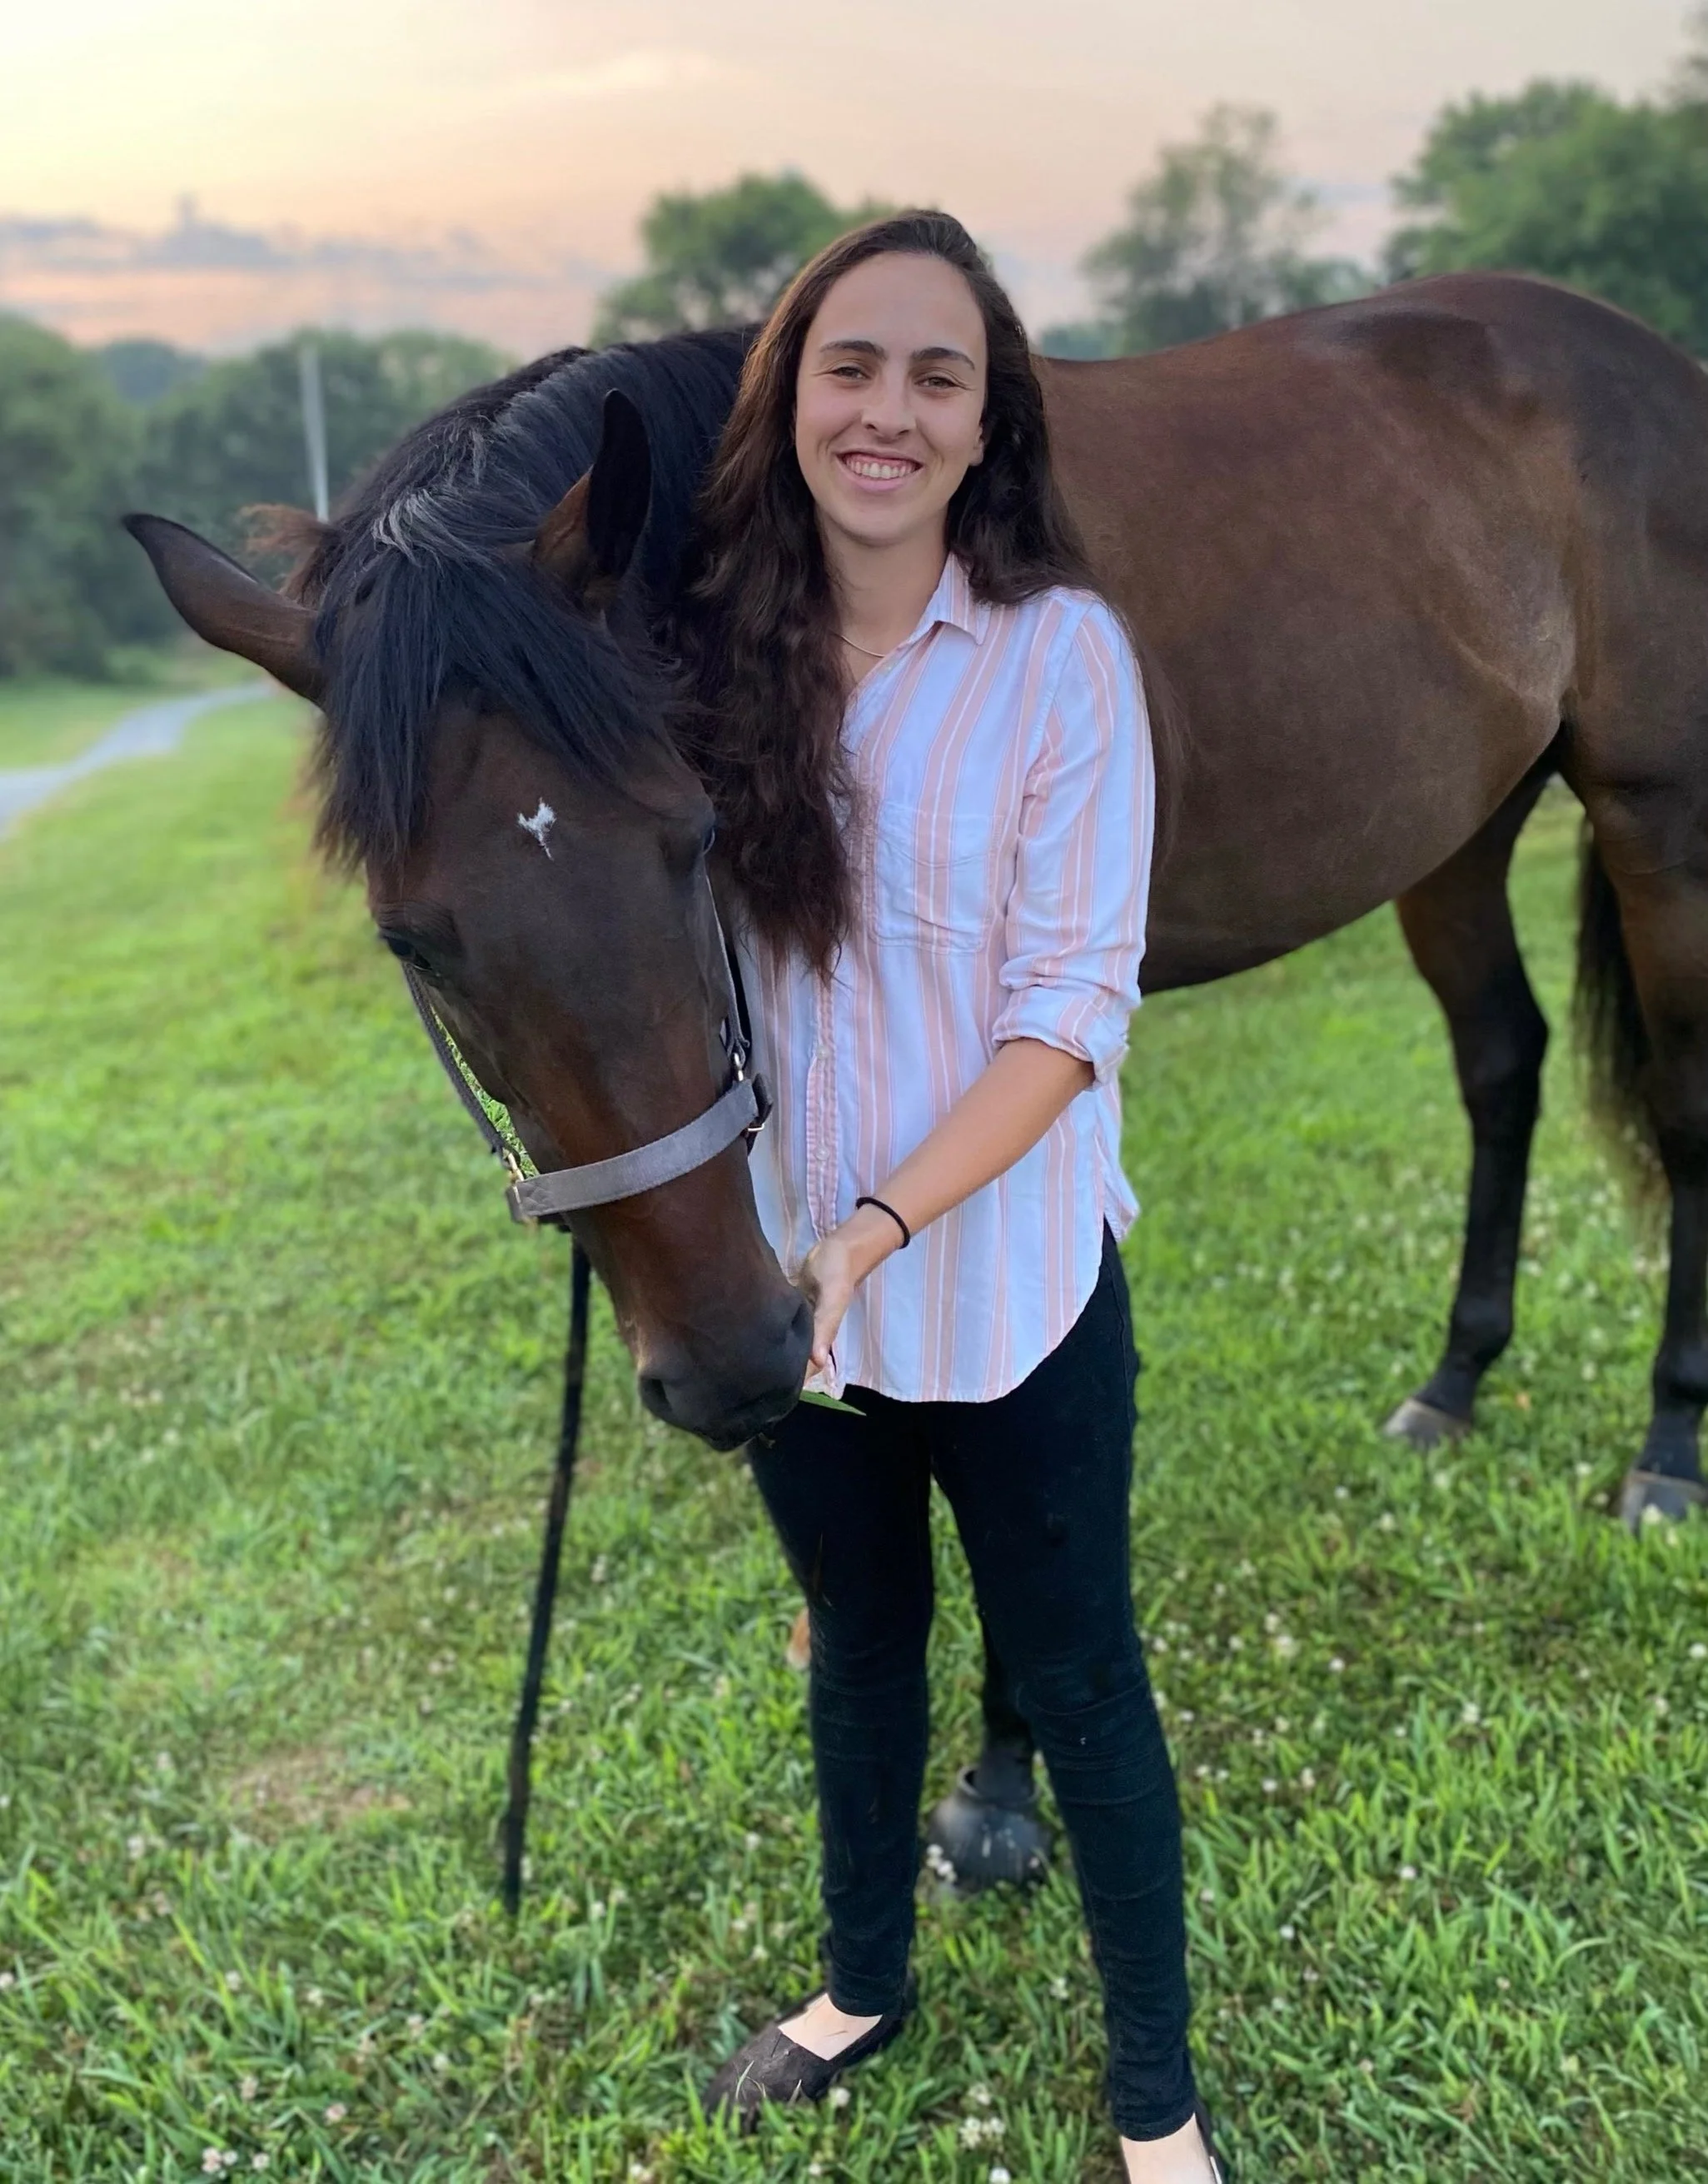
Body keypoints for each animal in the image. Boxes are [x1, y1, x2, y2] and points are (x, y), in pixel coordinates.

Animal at [126, 269, 1708, 1891]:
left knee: (1685, 1111)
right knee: (1500, 1067)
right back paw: (1453, 1382)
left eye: (693, 836)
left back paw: (1664, 1447)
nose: (732, 1365)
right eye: (410, 939)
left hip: (1660, 822)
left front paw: (1004, 1776)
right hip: (1457, 831)